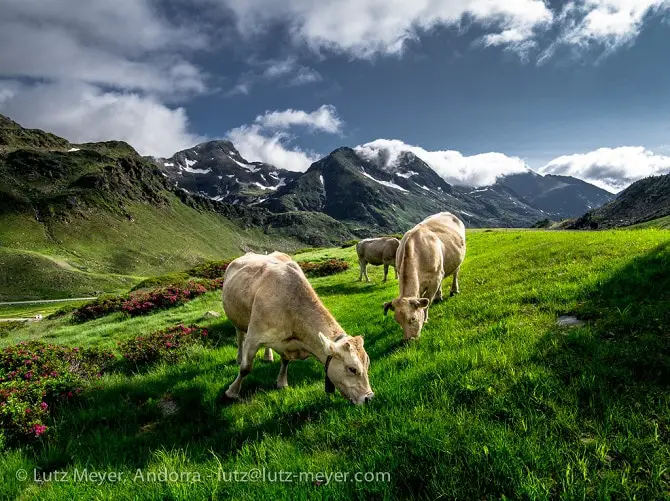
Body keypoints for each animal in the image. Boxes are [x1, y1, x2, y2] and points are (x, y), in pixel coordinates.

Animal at [223, 252, 376, 404]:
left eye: (367, 364)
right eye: (352, 369)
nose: (369, 397)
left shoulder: (287, 343)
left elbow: (285, 361)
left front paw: (282, 382)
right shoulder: (254, 336)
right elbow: (245, 368)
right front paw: (232, 392)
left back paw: (268, 356)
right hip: (237, 319)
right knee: (239, 338)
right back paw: (239, 357)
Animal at [384, 211, 468, 340]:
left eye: (413, 318)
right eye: (397, 321)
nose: (409, 340)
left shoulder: (435, 279)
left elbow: (427, 301)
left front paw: (425, 319)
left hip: (457, 261)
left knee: (455, 273)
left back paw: (454, 290)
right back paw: (439, 296)